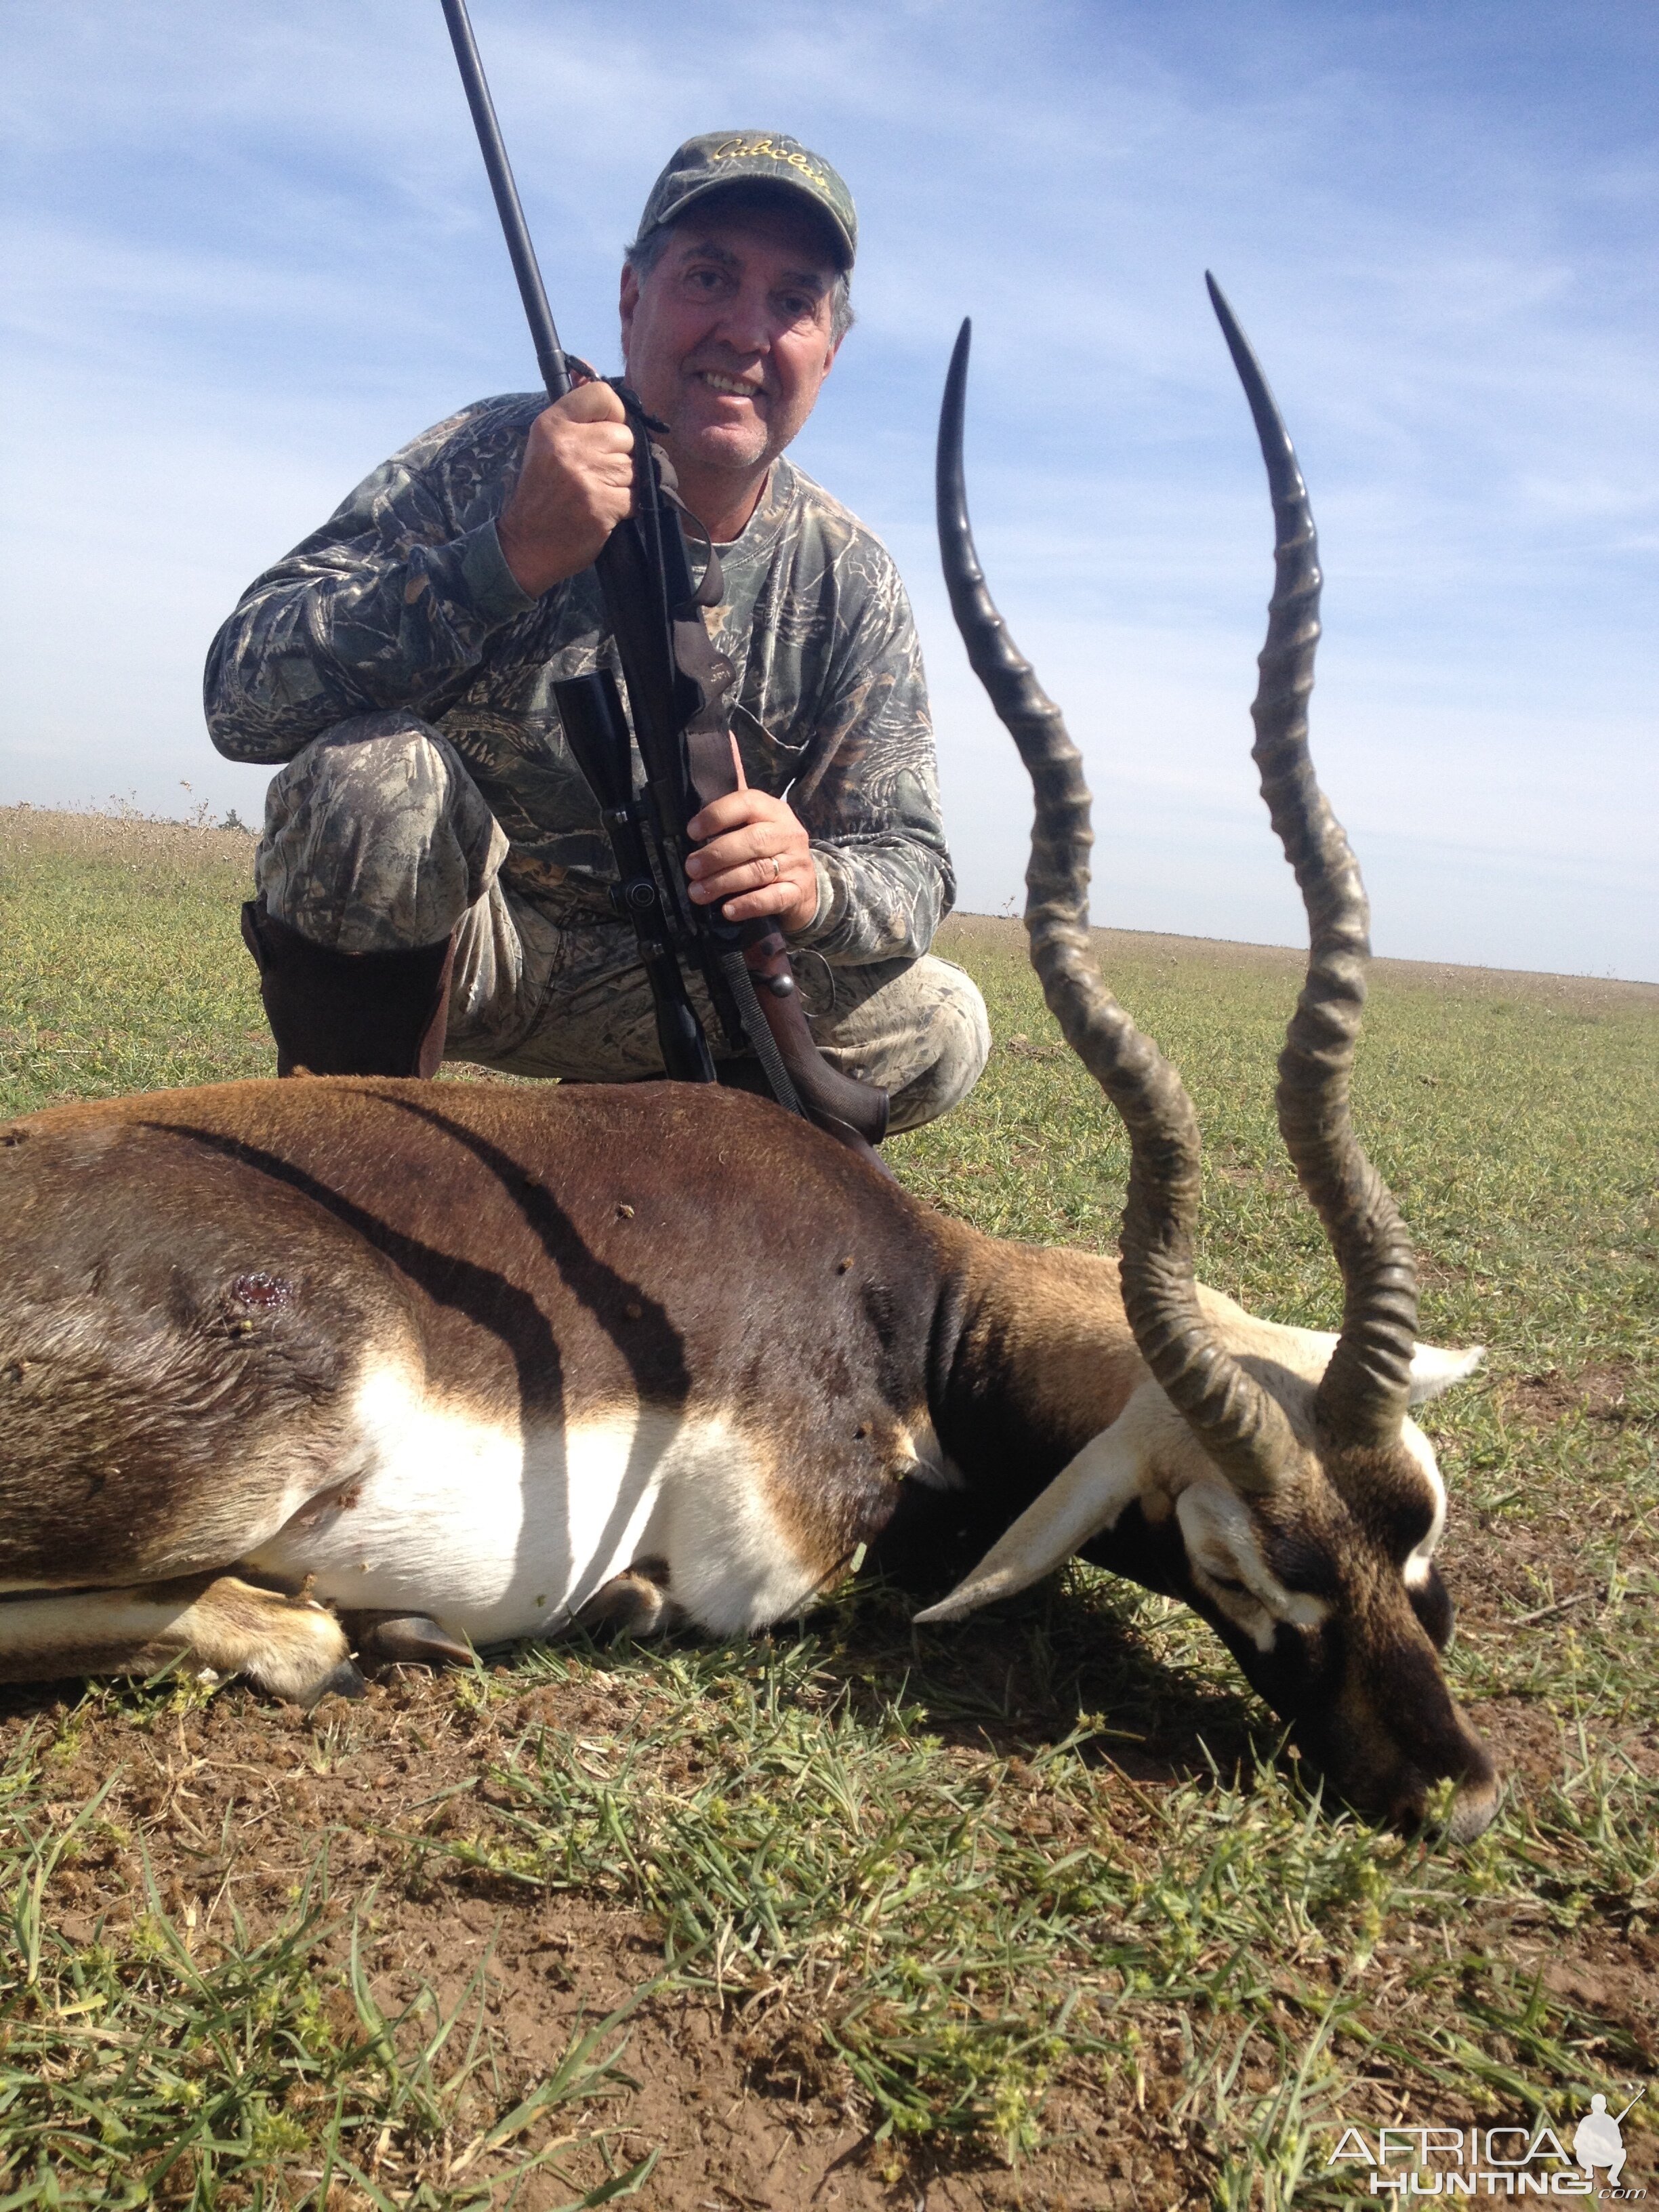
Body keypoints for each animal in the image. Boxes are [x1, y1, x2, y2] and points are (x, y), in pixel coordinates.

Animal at [0, 285, 1504, 1840]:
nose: (1453, 1790)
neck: (924, 1293)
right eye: (1231, 1560)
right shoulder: (773, 1550)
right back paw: (336, 1632)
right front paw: (584, 1608)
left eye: (1420, 1514)